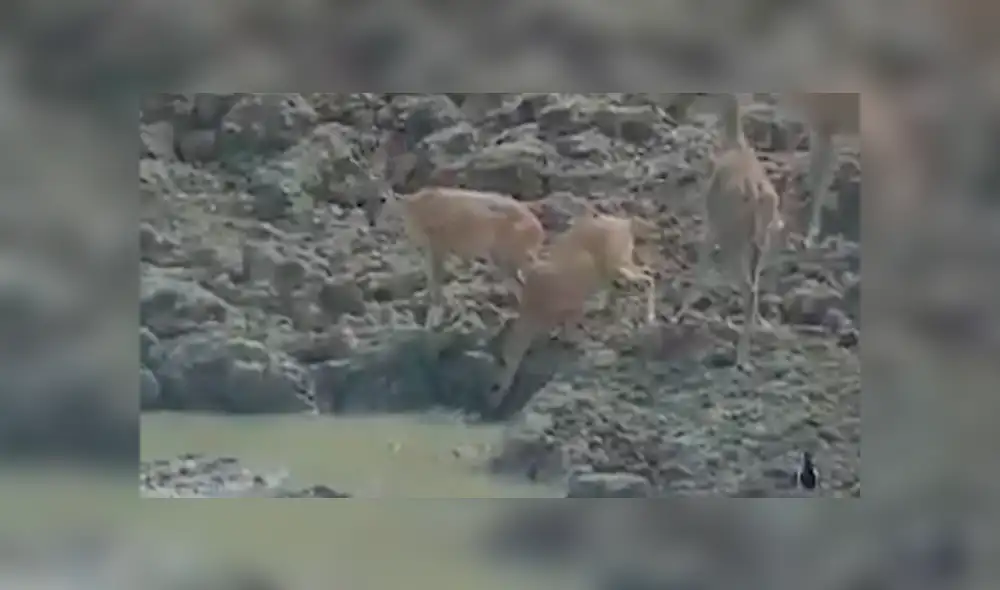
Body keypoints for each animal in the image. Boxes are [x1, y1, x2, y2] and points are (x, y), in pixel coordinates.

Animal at [358, 130, 546, 329]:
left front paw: (433, 323)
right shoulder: (428, 251)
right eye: (363, 199)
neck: (410, 208)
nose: (371, 222)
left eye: (382, 199)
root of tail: (537, 229)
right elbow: (431, 281)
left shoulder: (438, 246)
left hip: (505, 257)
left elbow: (436, 283)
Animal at [485, 210, 657, 411]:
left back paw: (649, 318)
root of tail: (624, 222)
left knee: (648, 277)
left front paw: (571, 343)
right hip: (612, 272)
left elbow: (570, 331)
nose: (490, 405)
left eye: (494, 386)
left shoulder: (573, 308)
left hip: (620, 266)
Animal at [681, 93, 785, 370]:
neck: (735, 145)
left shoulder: (711, 225)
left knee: (747, 288)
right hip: (759, 244)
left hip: (734, 242)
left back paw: (741, 358)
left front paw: (682, 311)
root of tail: (758, 194)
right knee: (754, 287)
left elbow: (702, 263)